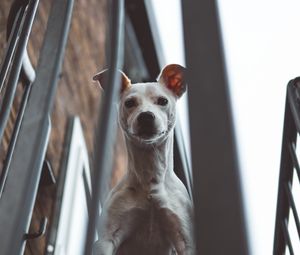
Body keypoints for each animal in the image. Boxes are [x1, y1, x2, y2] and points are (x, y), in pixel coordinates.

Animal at [92, 64, 193, 255]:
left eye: (162, 101)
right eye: (129, 103)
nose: (146, 116)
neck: (150, 177)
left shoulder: (185, 240)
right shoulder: (106, 239)